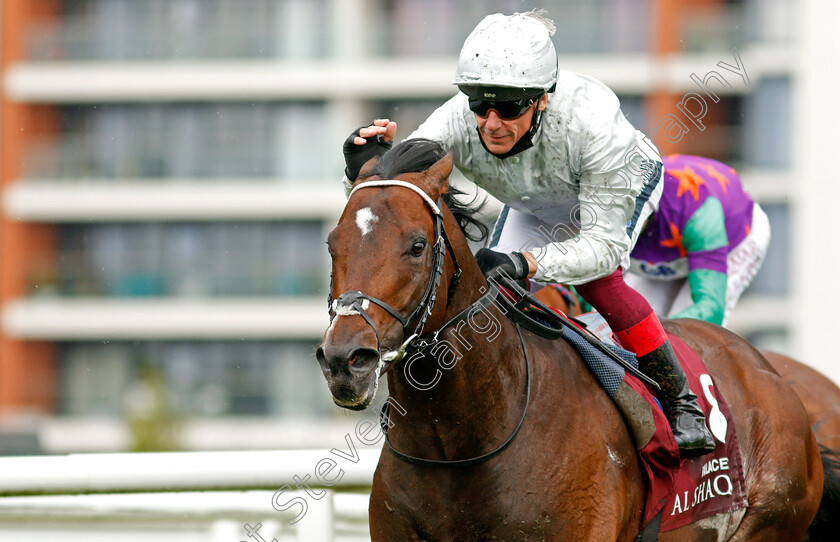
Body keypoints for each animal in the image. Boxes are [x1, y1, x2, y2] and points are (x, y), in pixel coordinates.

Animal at [316, 139, 828, 540]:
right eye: (332, 244)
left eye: (417, 245)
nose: (345, 359)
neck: (459, 444)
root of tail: (768, 373)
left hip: (769, 520)